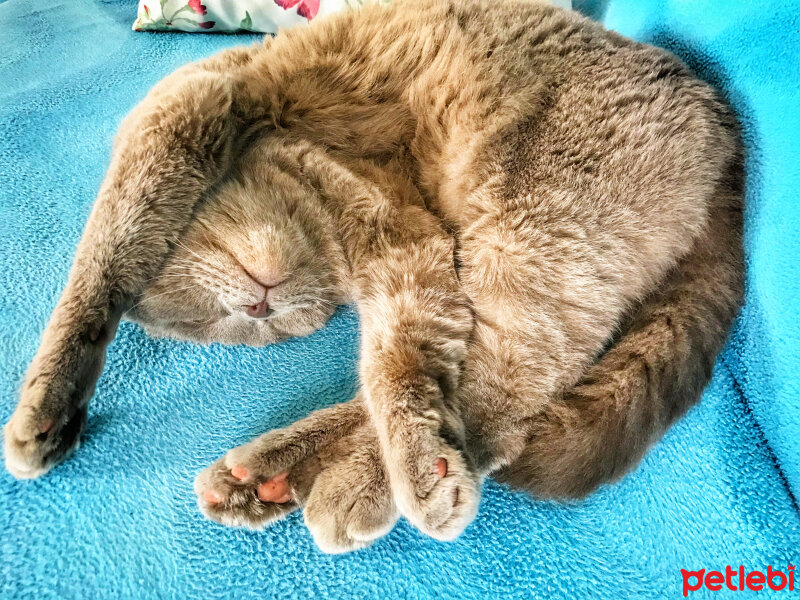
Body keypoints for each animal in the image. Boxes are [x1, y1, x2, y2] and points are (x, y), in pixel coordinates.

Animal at [4, 0, 744, 552]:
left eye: (197, 301)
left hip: (533, 226)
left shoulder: (202, 100)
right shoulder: (410, 247)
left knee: (500, 401)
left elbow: (100, 262)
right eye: (225, 326)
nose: (258, 309)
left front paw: (45, 408)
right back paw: (266, 477)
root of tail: (729, 137)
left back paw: (366, 484)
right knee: (475, 391)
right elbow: (403, 358)